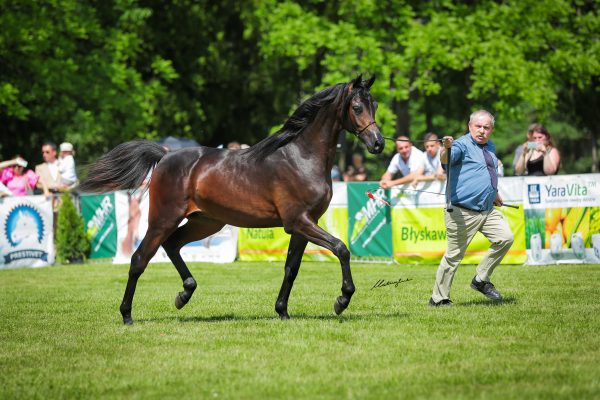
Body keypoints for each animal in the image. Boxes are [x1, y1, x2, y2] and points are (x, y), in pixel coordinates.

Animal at [78, 75, 384, 324]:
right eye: (357, 107)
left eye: (376, 105)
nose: (378, 143)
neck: (301, 157)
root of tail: (165, 155)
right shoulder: (299, 221)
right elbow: (341, 248)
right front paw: (341, 300)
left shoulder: (303, 225)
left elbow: (291, 268)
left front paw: (282, 311)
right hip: (163, 219)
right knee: (140, 259)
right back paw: (127, 315)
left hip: (204, 222)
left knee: (172, 245)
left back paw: (184, 294)